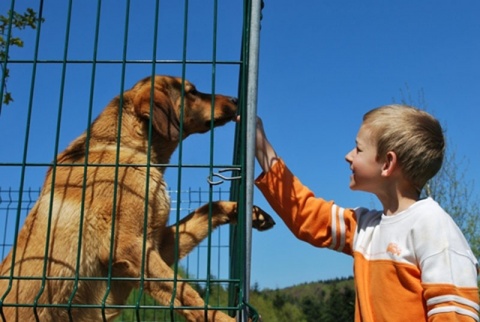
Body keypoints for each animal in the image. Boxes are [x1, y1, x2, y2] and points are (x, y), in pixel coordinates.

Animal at [0, 76, 274, 322]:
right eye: (192, 92)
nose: (236, 100)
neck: (129, 148)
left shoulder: (154, 244)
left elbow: (205, 212)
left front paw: (248, 213)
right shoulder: (129, 246)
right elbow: (187, 293)